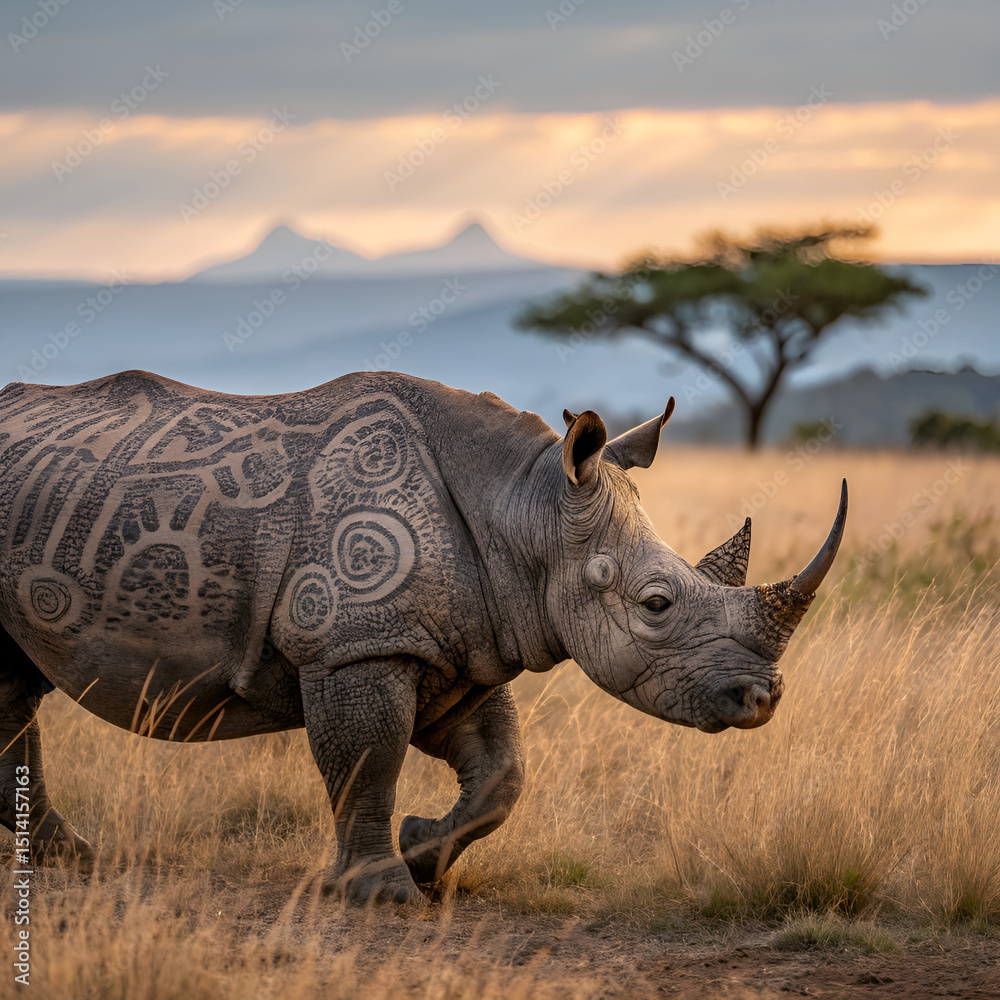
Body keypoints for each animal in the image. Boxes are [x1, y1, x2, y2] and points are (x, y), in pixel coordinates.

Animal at [0, 370, 846, 903]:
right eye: (657, 604)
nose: (762, 700)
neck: (525, 505)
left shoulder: (459, 646)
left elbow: (503, 772)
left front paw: (423, 857)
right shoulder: (356, 645)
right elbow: (369, 761)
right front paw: (380, 891)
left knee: (13, 684)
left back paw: (63, 855)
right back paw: (65, 856)